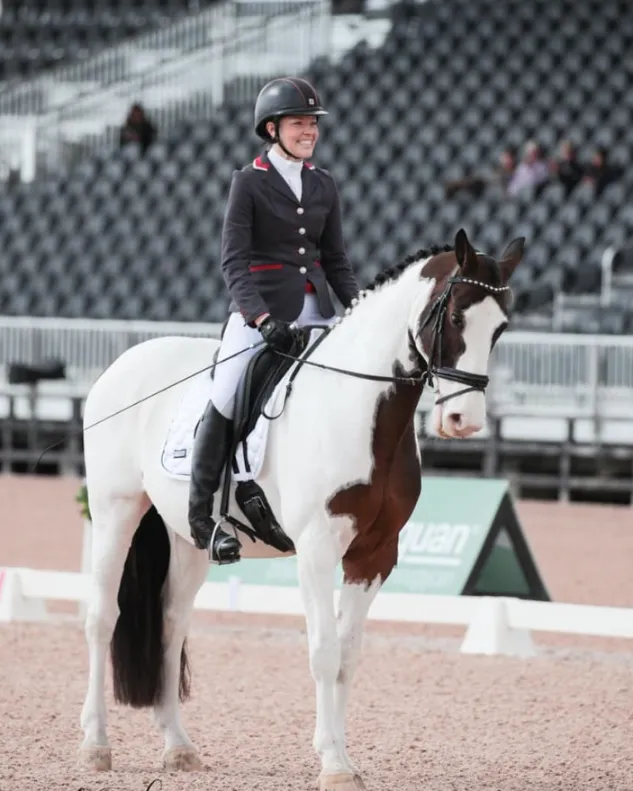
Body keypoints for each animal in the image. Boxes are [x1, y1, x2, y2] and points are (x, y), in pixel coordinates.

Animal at [77, 228, 524, 791]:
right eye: (458, 317)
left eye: (501, 328)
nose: (465, 420)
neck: (360, 410)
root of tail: (123, 362)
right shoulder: (316, 547)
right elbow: (323, 651)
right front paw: (332, 763)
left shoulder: (375, 553)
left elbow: (348, 656)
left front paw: (344, 758)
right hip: (114, 511)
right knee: (102, 616)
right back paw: (96, 745)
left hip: (187, 537)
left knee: (172, 622)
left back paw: (178, 747)